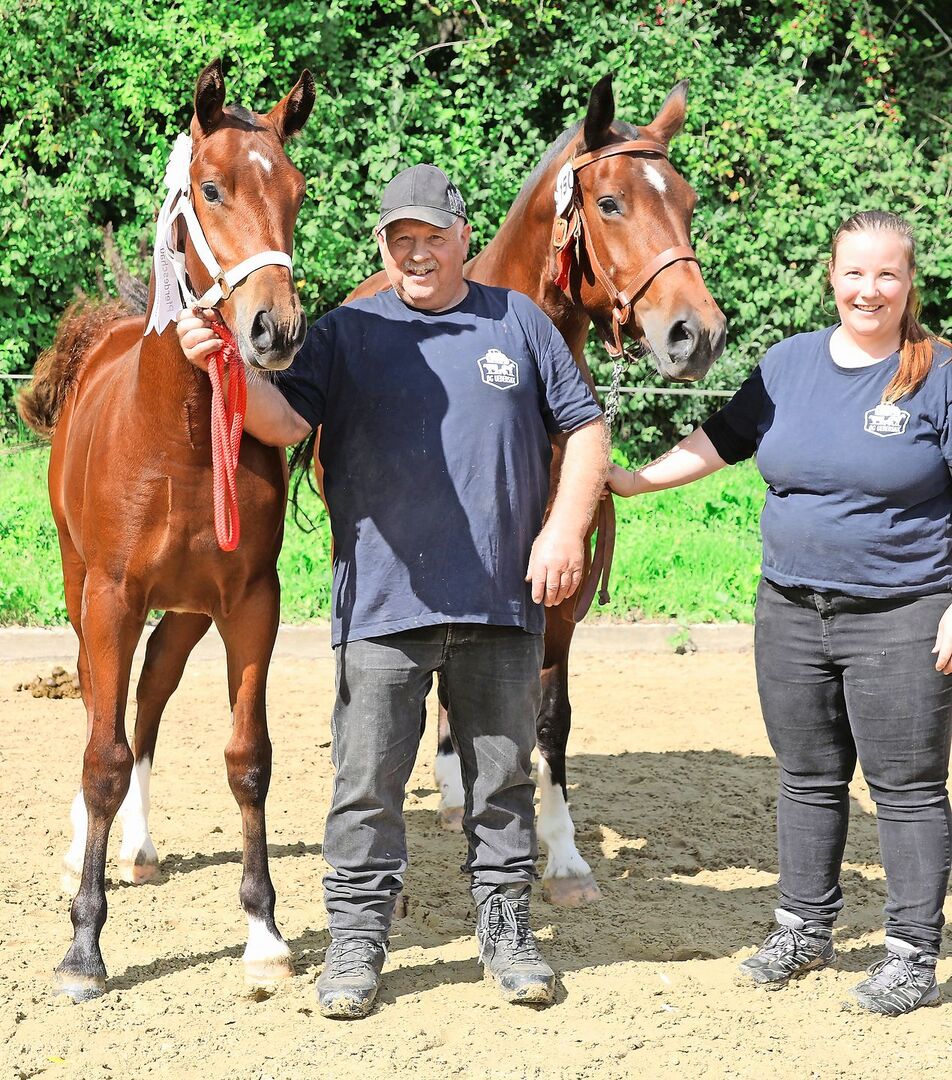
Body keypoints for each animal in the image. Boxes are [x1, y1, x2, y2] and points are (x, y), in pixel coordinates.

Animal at [18, 60, 315, 1001]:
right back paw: (86, 845)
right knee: (98, 705)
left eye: (295, 190)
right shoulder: (113, 597)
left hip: (184, 614)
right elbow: (102, 756)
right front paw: (84, 947)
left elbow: (247, 757)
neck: (177, 433)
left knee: (147, 698)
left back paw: (139, 849)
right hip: (83, 589)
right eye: (211, 189)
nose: (274, 329)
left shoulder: (251, 602)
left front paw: (263, 932)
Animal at [311, 74, 726, 906]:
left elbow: (547, 717)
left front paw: (562, 856)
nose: (696, 334)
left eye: (689, 202)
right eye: (610, 203)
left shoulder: (556, 595)